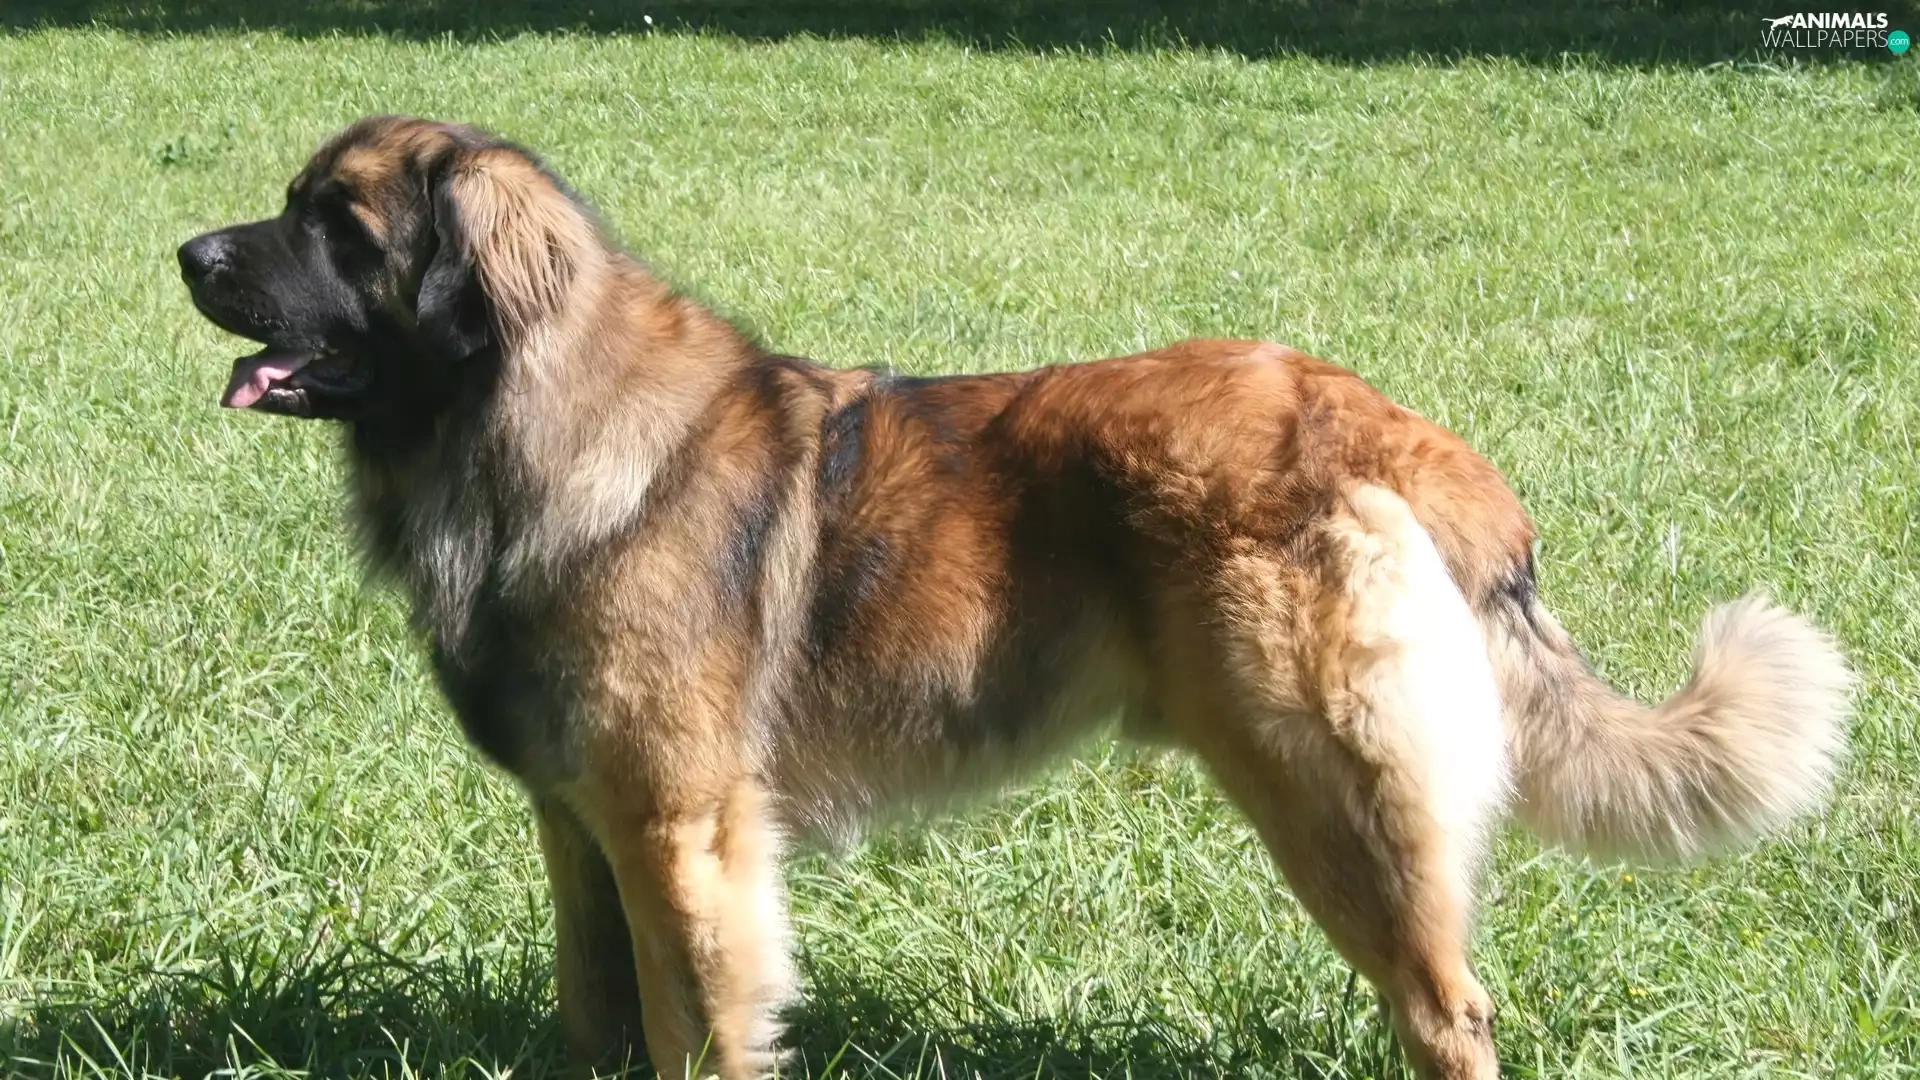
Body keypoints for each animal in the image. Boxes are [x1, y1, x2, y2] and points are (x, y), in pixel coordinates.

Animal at [177, 116, 1851, 1080]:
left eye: (339, 227)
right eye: (289, 206)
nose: (188, 250)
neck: (523, 420)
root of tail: (1383, 425)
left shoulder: (680, 830)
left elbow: (695, 1024)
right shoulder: (581, 820)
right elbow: (598, 1011)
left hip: (1329, 796)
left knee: (1448, 1011)